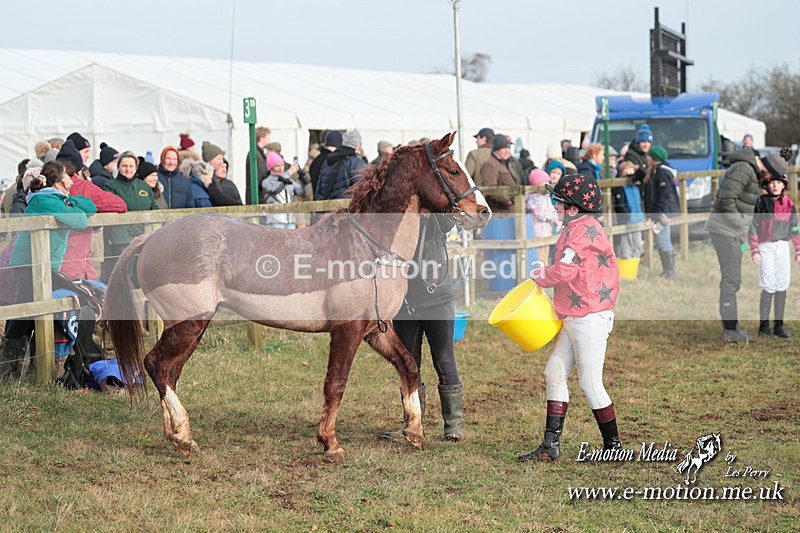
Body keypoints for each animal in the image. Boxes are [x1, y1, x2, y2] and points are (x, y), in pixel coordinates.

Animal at [104, 132, 490, 461]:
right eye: (453, 170)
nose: (483, 212)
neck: (369, 247)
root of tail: (151, 239)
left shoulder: (375, 330)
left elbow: (409, 367)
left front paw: (414, 432)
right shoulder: (347, 330)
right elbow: (336, 384)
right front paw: (330, 443)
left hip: (188, 327)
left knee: (169, 371)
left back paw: (176, 437)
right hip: (189, 322)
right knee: (157, 365)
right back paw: (183, 436)